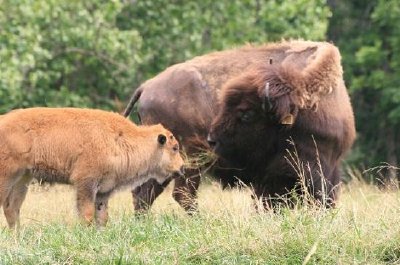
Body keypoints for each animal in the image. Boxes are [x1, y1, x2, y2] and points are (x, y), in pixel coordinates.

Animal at [0, 107, 184, 227]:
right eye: (174, 148)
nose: (181, 168)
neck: (120, 138)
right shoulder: (86, 183)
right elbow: (87, 214)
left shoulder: (104, 190)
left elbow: (102, 216)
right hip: (7, 176)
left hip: (23, 178)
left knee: (12, 208)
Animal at [123, 40, 354, 211]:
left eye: (247, 114)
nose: (212, 140)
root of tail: (147, 87)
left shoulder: (326, 168)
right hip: (190, 159)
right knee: (181, 194)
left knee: (144, 193)